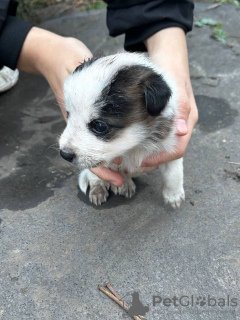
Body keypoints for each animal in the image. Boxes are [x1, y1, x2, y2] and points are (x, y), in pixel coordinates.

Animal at [59, 52, 185, 208]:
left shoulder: (169, 148)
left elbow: (173, 173)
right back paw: (100, 189)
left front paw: (174, 195)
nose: (64, 154)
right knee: (94, 177)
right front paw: (122, 182)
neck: (133, 147)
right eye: (68, 115)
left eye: (99, 125)